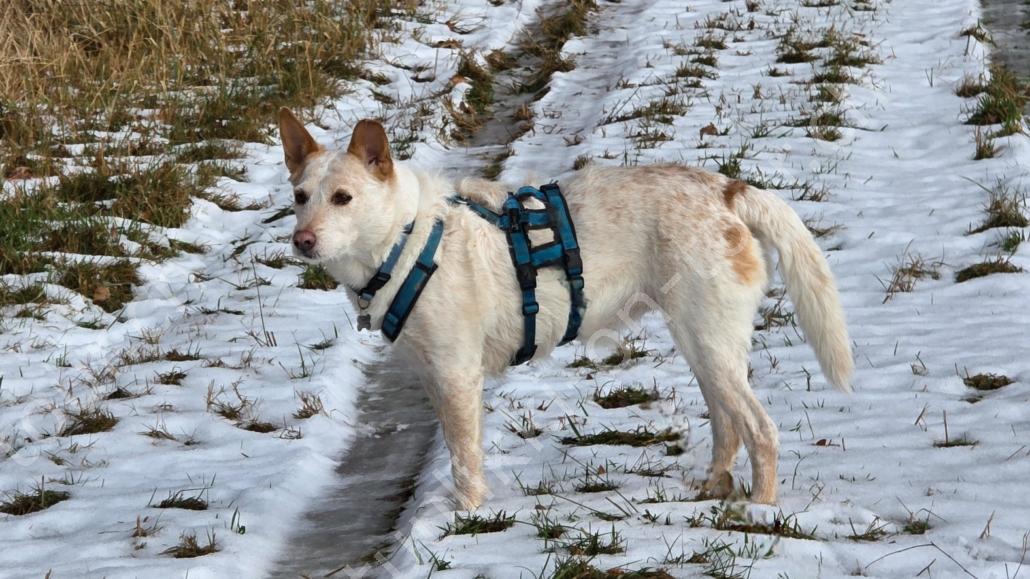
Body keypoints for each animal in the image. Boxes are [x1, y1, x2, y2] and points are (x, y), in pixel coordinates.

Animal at [278, 107, 853, 509]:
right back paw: (715, 488)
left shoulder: (456, 375)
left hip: (710, 342)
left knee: (761, 429)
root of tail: (728, 189)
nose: (302, 241)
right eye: (301, 196)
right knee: (727, 425)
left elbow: (464, 459)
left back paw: (760, 510)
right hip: (703, 344)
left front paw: (464, 515)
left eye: (344, 198)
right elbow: (462, 450)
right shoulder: (435, 377)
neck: (407, 239)